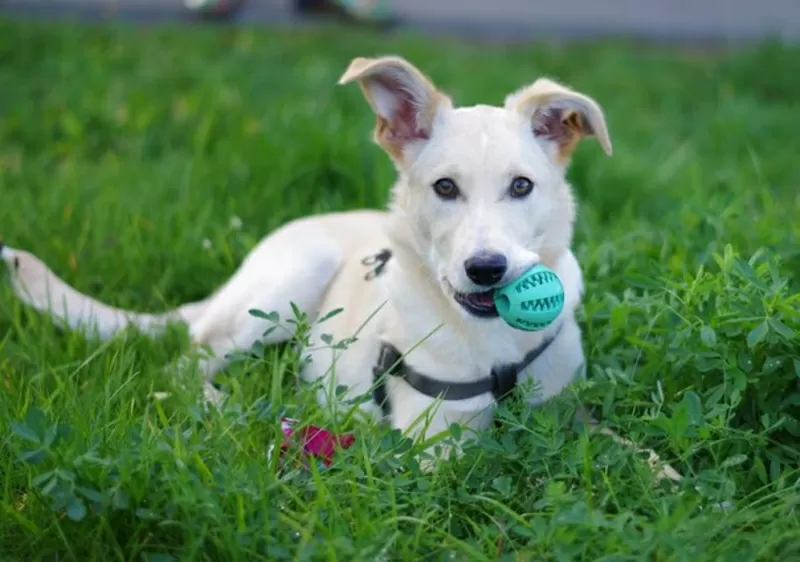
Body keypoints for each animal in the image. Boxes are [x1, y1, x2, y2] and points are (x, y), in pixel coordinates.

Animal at [3, 55, 684, 476]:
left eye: (522, 186)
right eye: (444, 188)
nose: (487, 269)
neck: (491, 343)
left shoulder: (565, 407)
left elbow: (625, 449)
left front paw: (673, 482)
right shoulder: (437, 447)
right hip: (281, 289)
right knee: (186, 363)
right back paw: (232, 408)